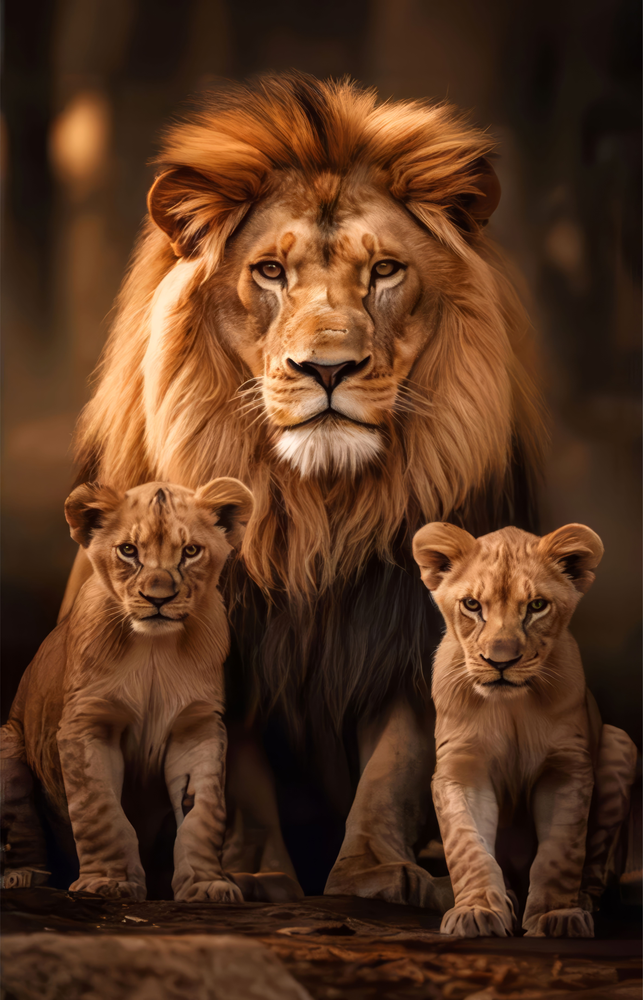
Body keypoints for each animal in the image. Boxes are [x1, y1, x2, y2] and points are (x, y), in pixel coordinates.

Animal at [0, 477, 295, 902]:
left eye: (190, 551)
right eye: (128, 550)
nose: (159, 598)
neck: (154, 650)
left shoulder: (197, 726)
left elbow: (203, 814)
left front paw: (208, 884)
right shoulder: (87, 722)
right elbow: (101, 812)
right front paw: (109, 882)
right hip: (7, 742)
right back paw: (21, 877)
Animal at [58, 72, 546, 905]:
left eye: (383, 271)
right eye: (270, 272)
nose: (327, 369)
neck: (318, 509)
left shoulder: (407, 633)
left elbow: (394, 762)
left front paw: (377, 873)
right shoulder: (229, 646)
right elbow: (235, 774)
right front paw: (248, 874)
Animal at [412, 520, 637, 936]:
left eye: (536, 606)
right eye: (472, 605)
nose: (500, 661)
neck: (511, 708)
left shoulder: (566, 768)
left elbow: (560, 850)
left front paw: (556, 915)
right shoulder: (460, 767)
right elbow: (467, 845)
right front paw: (477, 911)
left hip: (621, 744)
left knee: (596, 865)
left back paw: (582, 903)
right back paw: (509, 898)